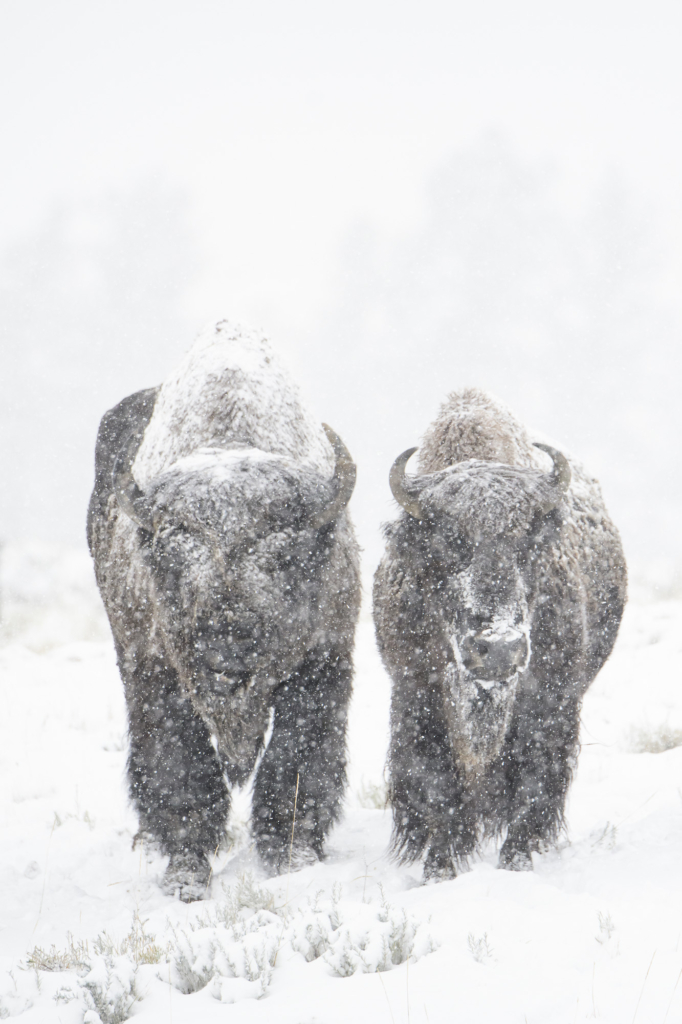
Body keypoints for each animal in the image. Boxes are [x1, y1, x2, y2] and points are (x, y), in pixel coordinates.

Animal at [87, 323, 358, 901]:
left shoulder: (323, 663)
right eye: (173, 556)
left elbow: (298, 758)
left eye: (285, 554)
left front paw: (294, 858)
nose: (226, 649)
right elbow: (181, 769)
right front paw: (186, 877)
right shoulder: (156, 673)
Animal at [372, 387, 626, 884]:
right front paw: (438, 870)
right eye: (450, 539)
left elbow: (532, 786)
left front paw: (516, 863)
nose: (499, 649)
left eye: (527, 539)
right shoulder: (417, 696)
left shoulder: (550, 702)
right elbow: (439, 788)